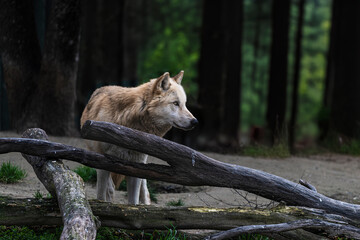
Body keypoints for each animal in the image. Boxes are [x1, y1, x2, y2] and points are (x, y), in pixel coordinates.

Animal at [80, 71, 198, 204]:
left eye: (184, 104)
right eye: (175, 103)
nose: (195, 121)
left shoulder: (136, 166)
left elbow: (134, 201)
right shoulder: (101, 164)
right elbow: (101, 195)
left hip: (143, 167)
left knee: (145, 191)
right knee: (110, 188)